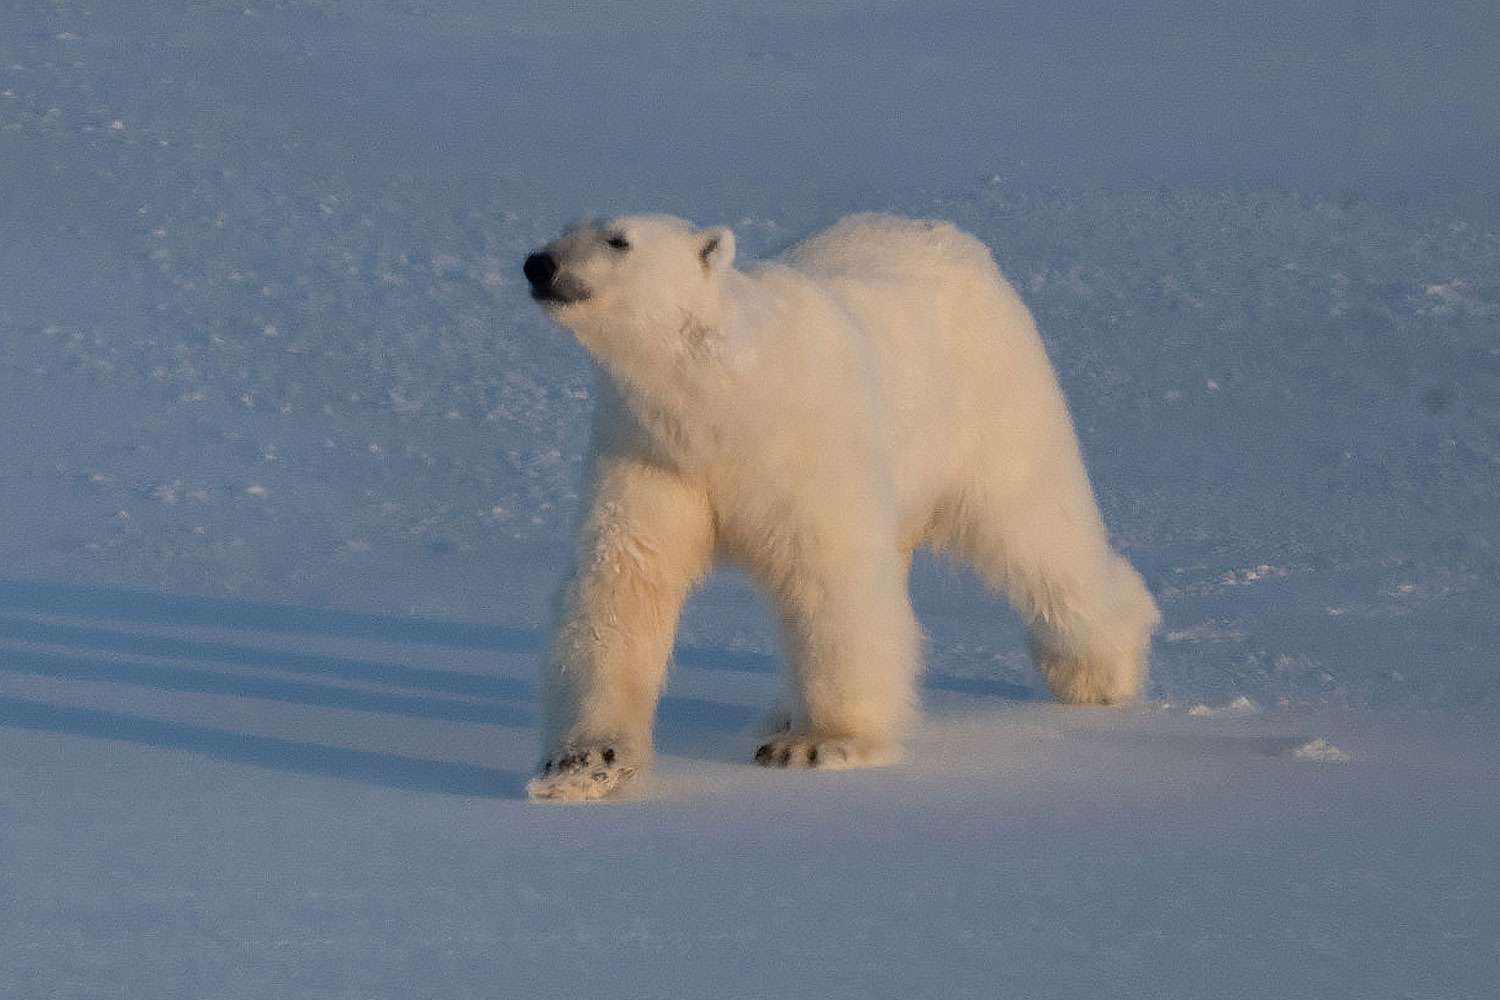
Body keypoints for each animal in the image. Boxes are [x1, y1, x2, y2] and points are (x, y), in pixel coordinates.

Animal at [521, 213, 1159, 801]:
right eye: (565, 226)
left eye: (618, 240)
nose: (539, 264)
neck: (721, 401)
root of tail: (947, 233)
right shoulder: (652, 453)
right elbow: (624, 581)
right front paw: (584, 762)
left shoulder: (806, 440)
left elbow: (830, 579)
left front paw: (816, 744)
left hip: (993, 398)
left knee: (1036, 528)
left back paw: (1100, 674)